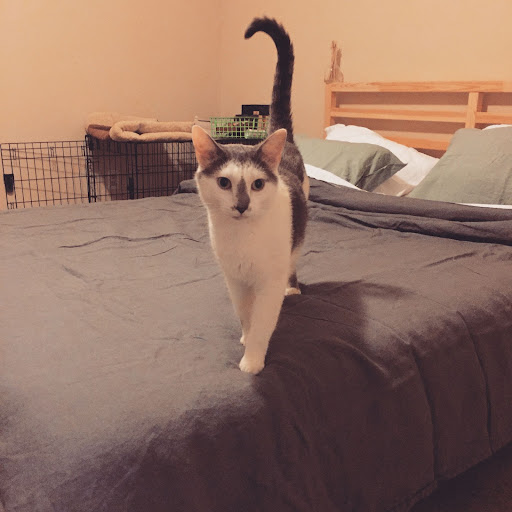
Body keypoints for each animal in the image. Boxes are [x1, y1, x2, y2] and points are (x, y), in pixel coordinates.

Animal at [190, 18, 306, 374]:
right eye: (224, 183)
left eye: (256, 185)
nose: (242, 206)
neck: (242, 238)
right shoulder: (236, 281)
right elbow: (245, 315)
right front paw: (244, 336)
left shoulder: (268, 282)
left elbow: (263, 321)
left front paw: (253, 360)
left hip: (295, 244)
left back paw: (293, 287)